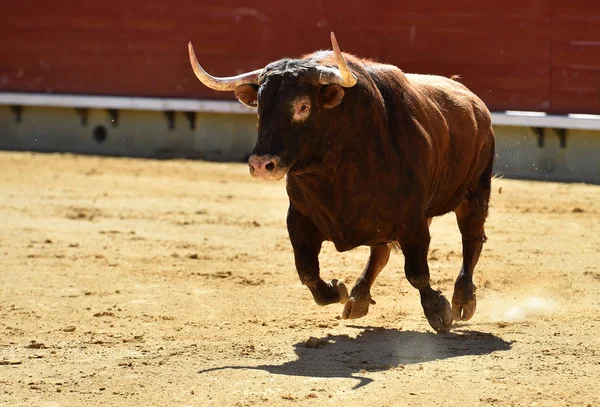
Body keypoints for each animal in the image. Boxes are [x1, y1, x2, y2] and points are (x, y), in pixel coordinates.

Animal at [189, 31, 496, 332]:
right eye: (260, 109)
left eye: (303, 106)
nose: (261, 164)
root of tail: (474, 101)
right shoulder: (299, 218)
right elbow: (307, 271)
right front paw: (337, 290)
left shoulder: (412, 221)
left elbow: (417, 272)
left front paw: (439, 311)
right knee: (380, 253)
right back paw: (357, 299)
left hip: (474, 192)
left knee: (471, 239)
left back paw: (463, 301)